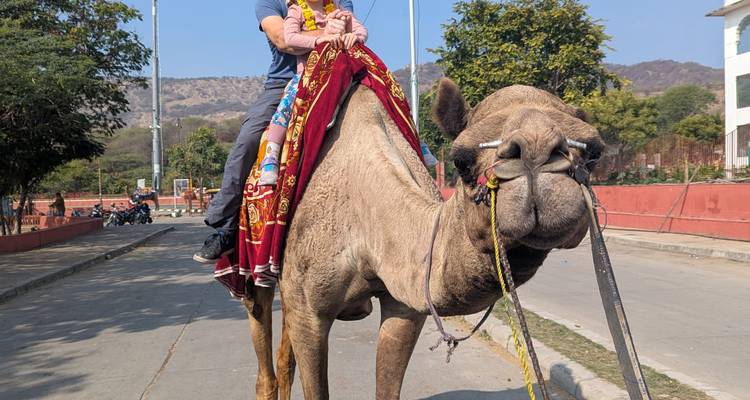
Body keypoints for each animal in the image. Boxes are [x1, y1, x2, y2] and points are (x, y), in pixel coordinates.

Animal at [240, 78, 605, 399]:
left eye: (593, 153)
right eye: (461, 161)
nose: (536, 149)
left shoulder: (404, 307)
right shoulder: (309, 310)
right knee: (264, 361)